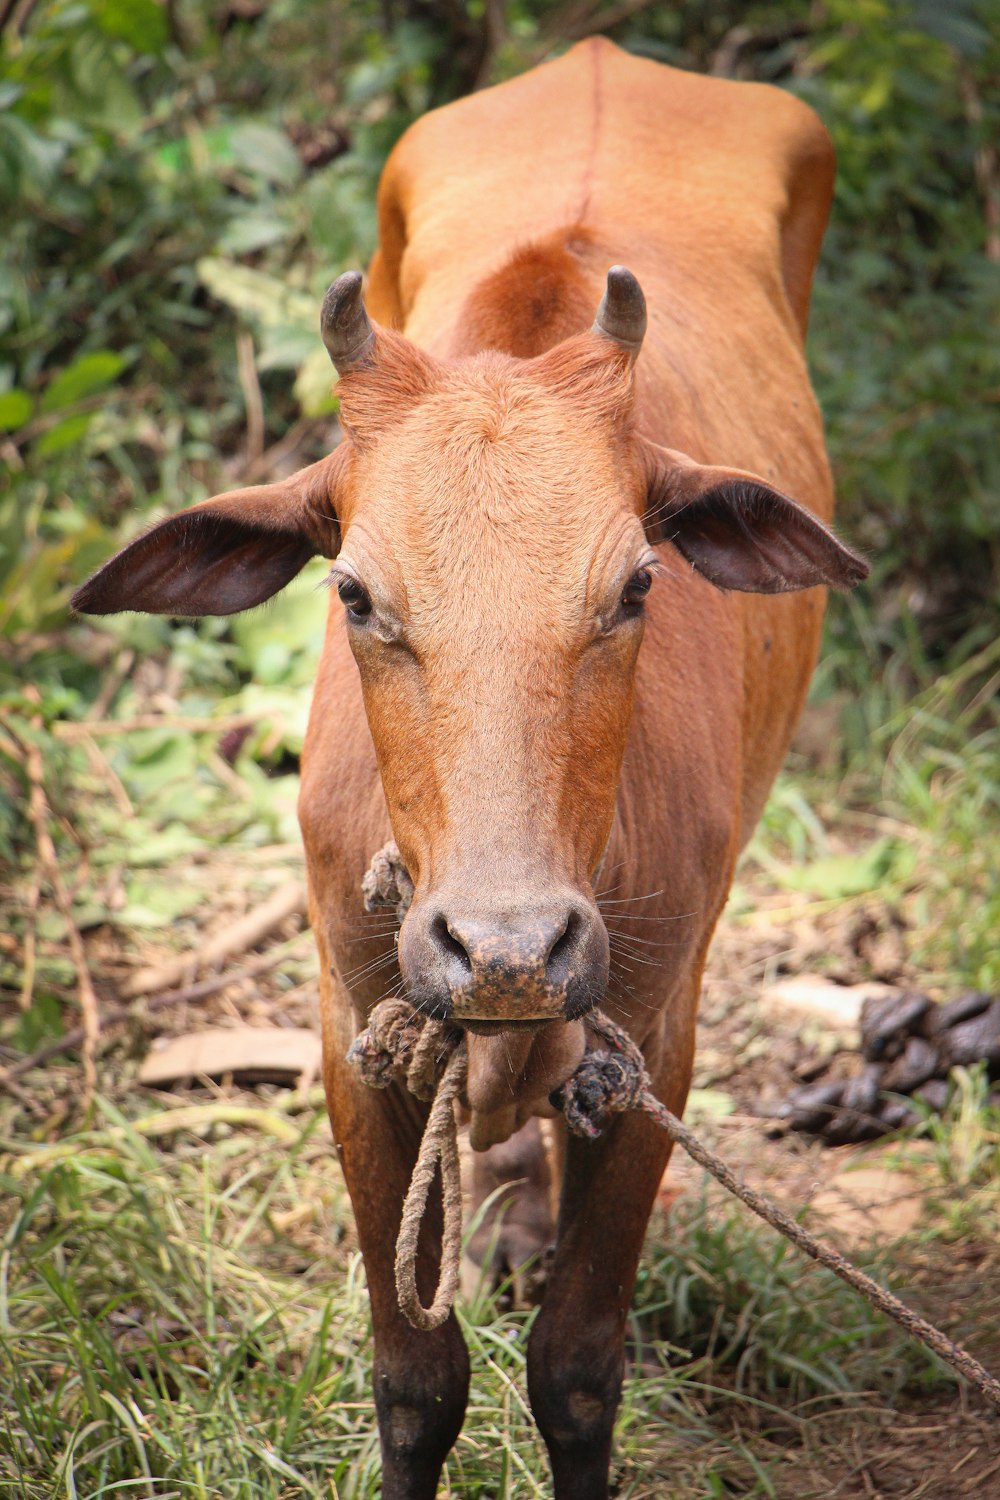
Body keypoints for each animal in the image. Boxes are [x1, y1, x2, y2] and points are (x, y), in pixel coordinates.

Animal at [72, 41, 869, 1500]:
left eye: (636, 585)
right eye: (354, 591)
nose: (507, 946)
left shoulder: (650, 1038)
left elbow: (577, 1368)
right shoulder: (354, 1027)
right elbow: (413, 1376)